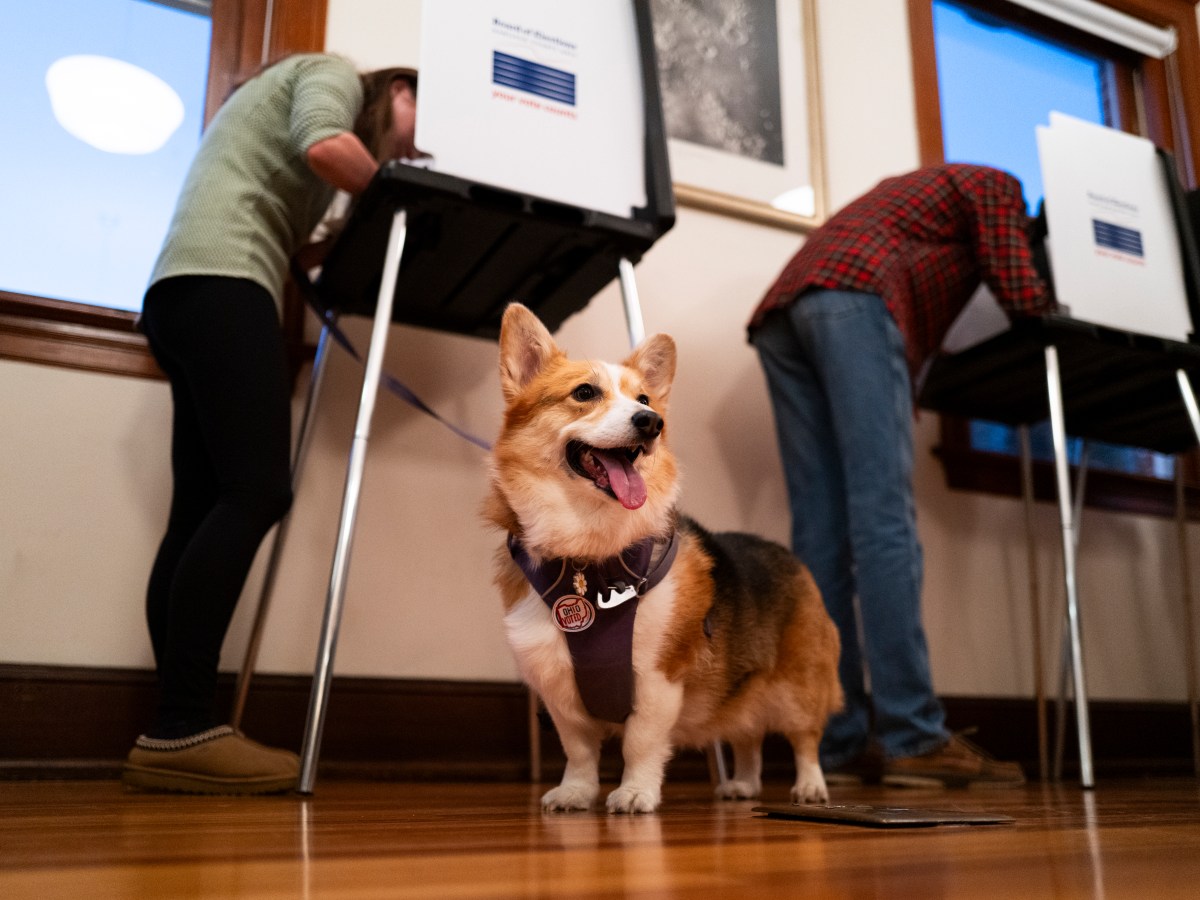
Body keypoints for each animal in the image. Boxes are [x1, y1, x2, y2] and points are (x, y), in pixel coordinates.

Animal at [482, 304, 840, 816]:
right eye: (584, 393)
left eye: (645, 398)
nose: (651, 422)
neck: (590, 552)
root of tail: (789, 555)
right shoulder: (560, 690)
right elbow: (579, 751)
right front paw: (575, 793)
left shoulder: (657, 680)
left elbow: (640, 744)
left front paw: (635, 793)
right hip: (740, 688)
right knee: (747, 736)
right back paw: (743, 785)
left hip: (798, 685)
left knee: (804, 739)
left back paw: (810, 788)